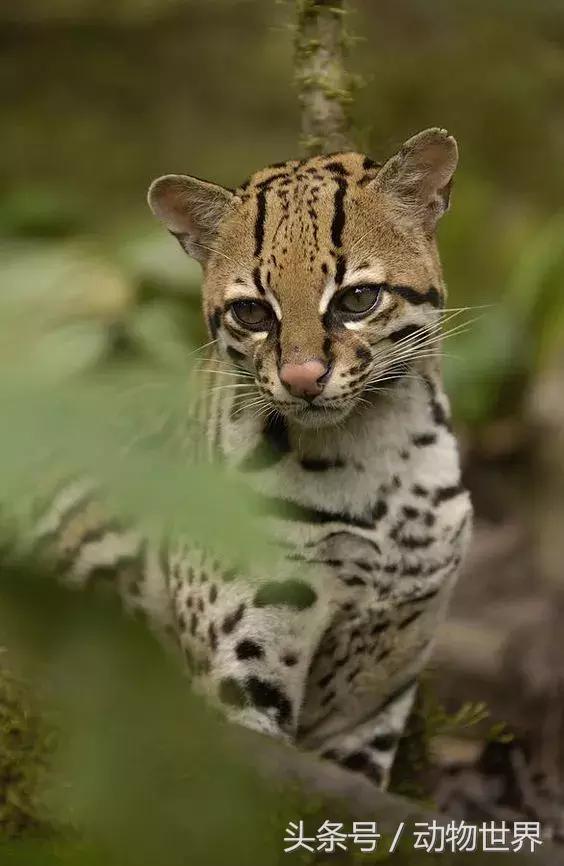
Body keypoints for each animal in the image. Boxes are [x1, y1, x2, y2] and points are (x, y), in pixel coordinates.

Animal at [33, 128, 472, 789]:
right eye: (253, 312)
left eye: (358, 299)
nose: (302, 378)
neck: (376, 451)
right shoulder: (243, 663)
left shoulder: (376, 693)